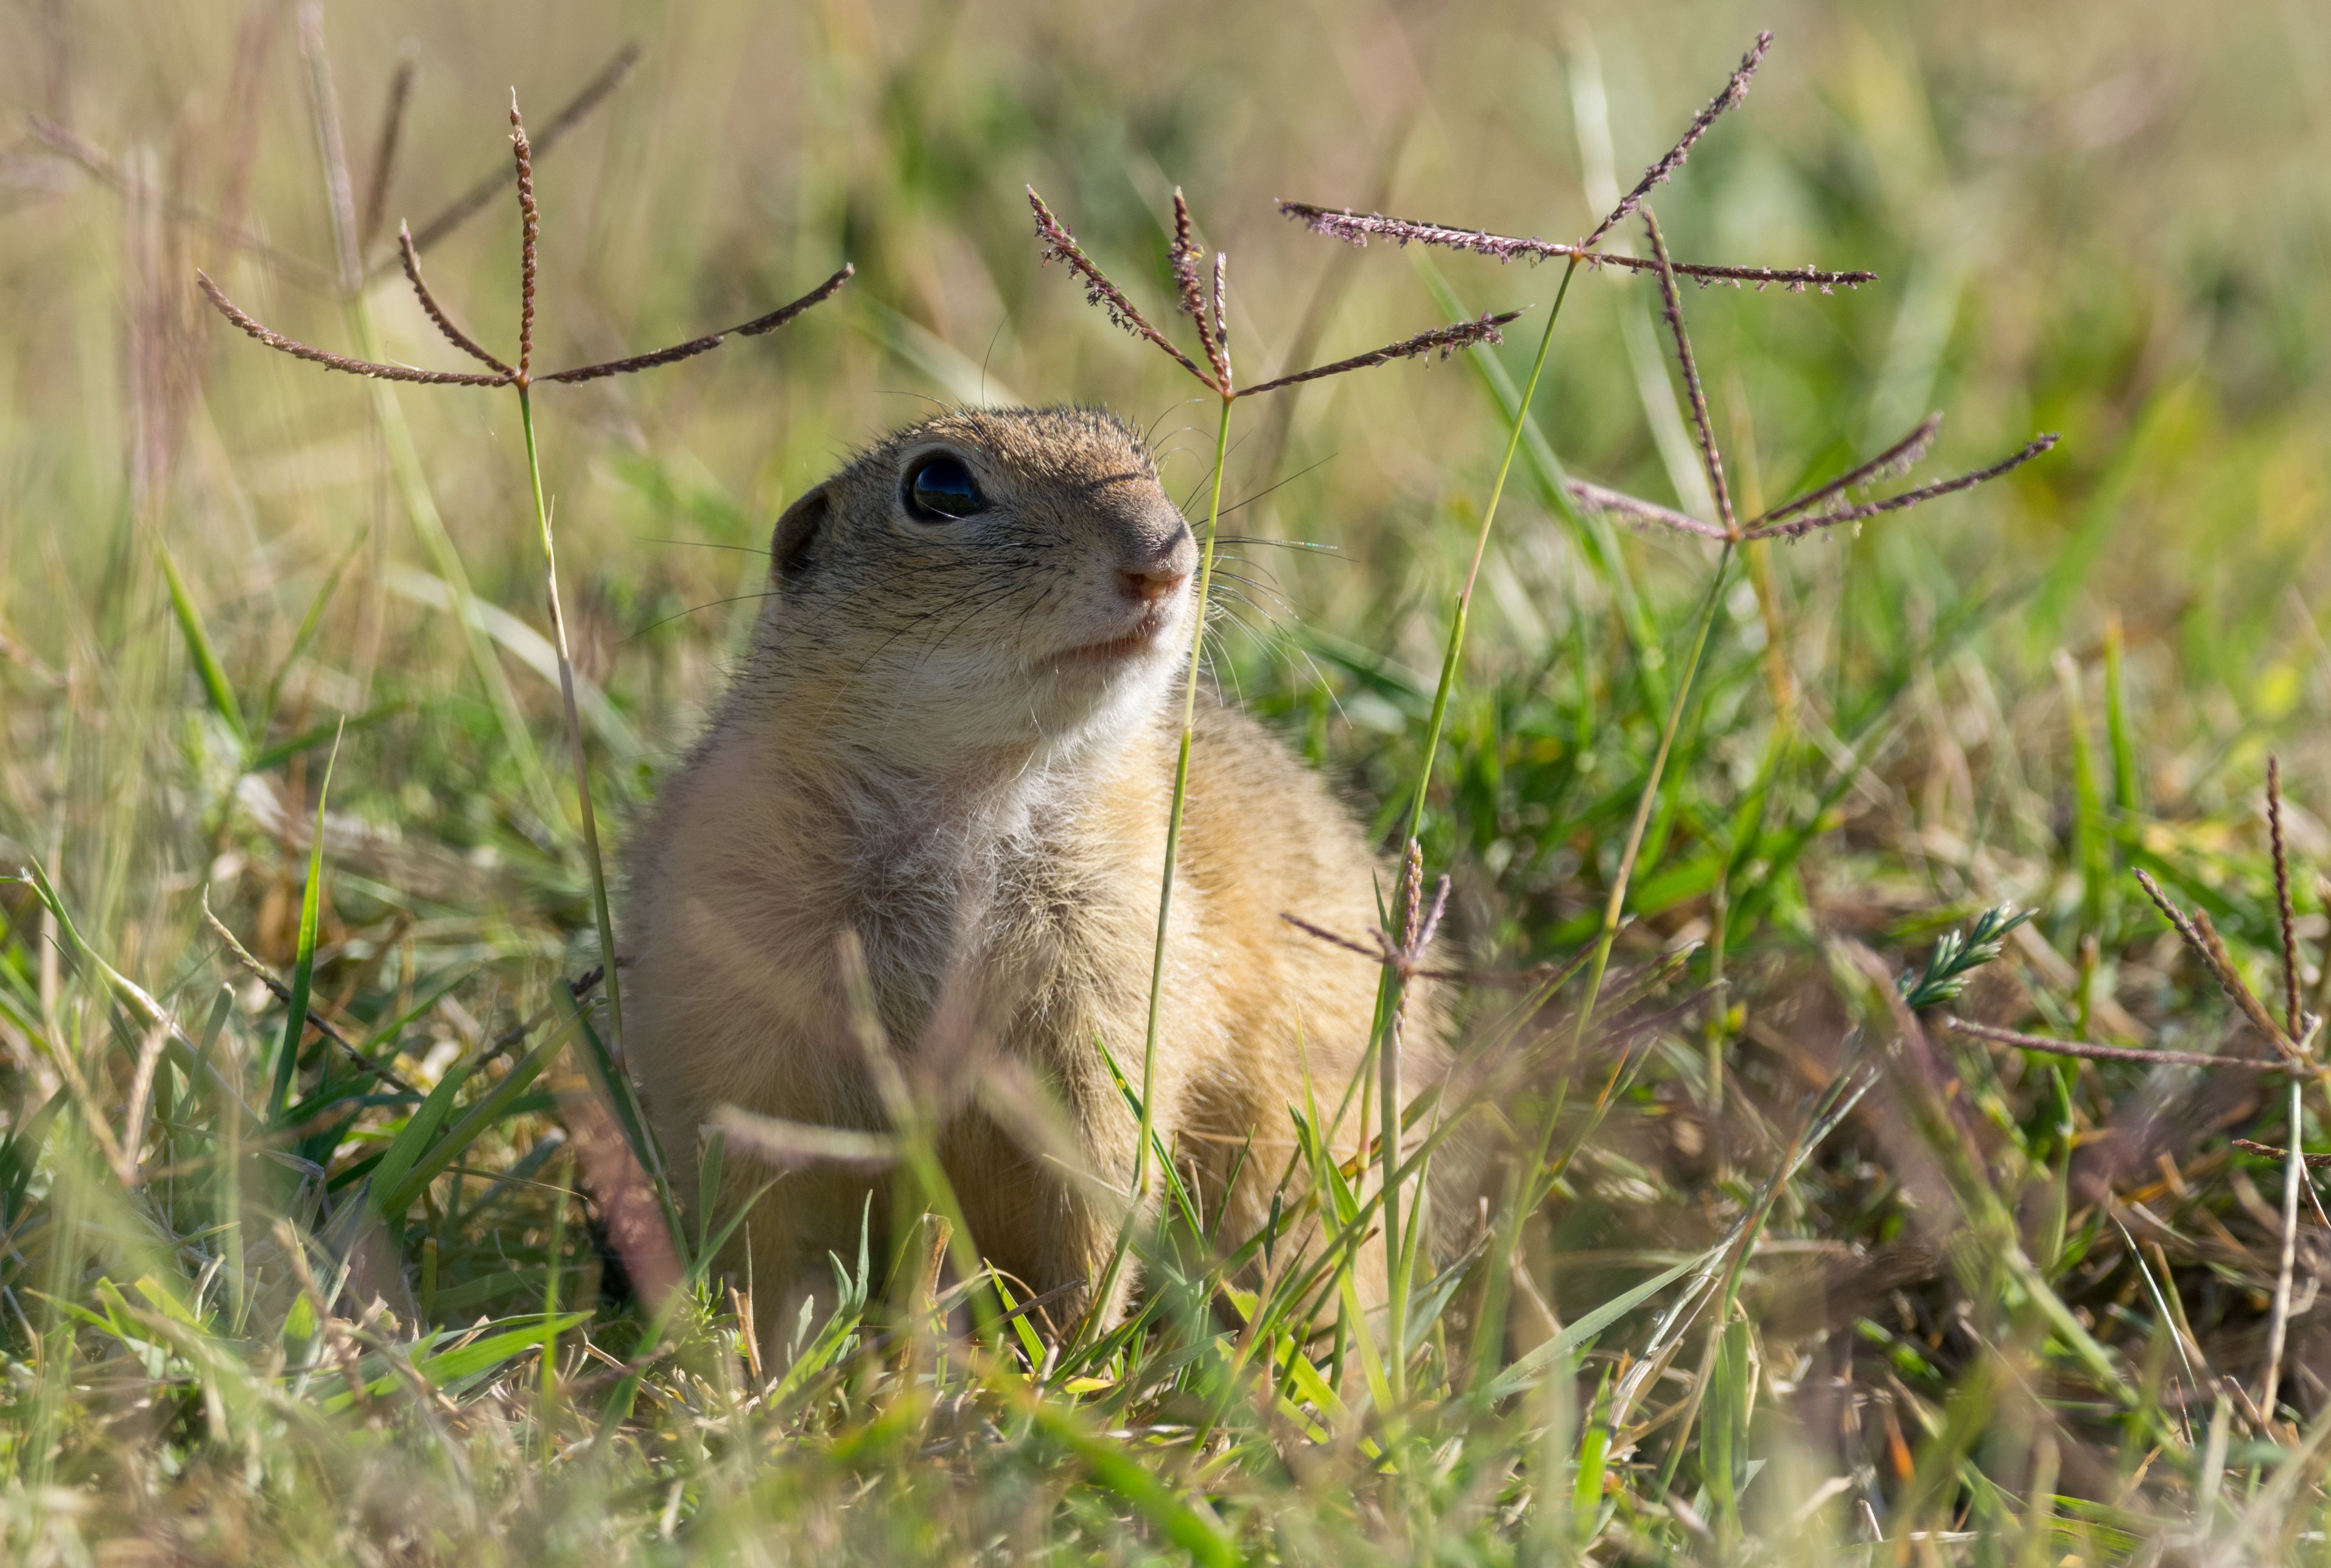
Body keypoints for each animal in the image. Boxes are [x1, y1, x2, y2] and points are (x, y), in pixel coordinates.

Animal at [629, 403, 1445, 1342]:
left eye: (1140, 456)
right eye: (938, 487)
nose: (1164, 556)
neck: (980, 800)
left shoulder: (1115, 999)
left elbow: (1097, 1194)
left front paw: (1071, 1351)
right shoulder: (736, 1004)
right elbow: (761, 1226)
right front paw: (763, 1350)